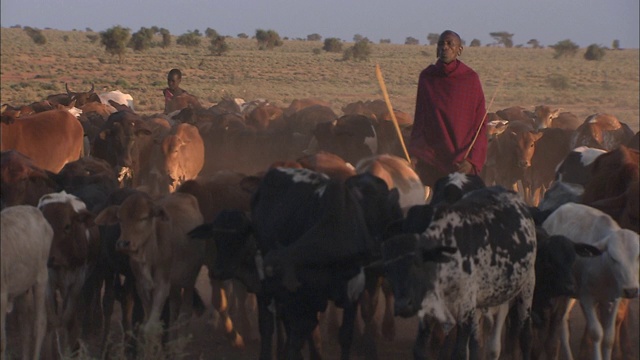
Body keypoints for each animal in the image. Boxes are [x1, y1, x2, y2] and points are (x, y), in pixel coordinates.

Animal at [0, 205, 53, 360]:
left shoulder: (2, 295)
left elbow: (2, 341)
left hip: (41, 277)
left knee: (40, 324)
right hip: (23, 289)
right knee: (25, 327)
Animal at [37, 191, 100, 358]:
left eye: (67, 226)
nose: (49, 258)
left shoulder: (77, 281)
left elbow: (68, 318)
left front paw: (68, 349)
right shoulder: (49, 282)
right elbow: (52, 320)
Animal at [94, 190, 205, 342]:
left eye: (143, 218)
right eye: (120, 219)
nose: (123, 243)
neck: (150, 253)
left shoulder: (162, 284)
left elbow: (151, 327)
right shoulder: (141, 285)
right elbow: (148, 325)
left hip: (189, 279)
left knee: (185, 312)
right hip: (174, 283)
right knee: (175, 306)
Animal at [382, 186, 536, 360]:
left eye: (419, 261)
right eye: (389, 268)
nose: (403, 305)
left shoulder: (465, 309)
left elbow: (460, 352)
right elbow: (419, 350)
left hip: (528, 285)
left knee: (525, 335)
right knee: (476, 342)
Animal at [540, 204, 640, 360]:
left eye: (638, 256)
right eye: (613, 258)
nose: (631, 291)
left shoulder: (614, 300)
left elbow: (609, 337)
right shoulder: (586, 299)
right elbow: (596, 333)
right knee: (563, 328)